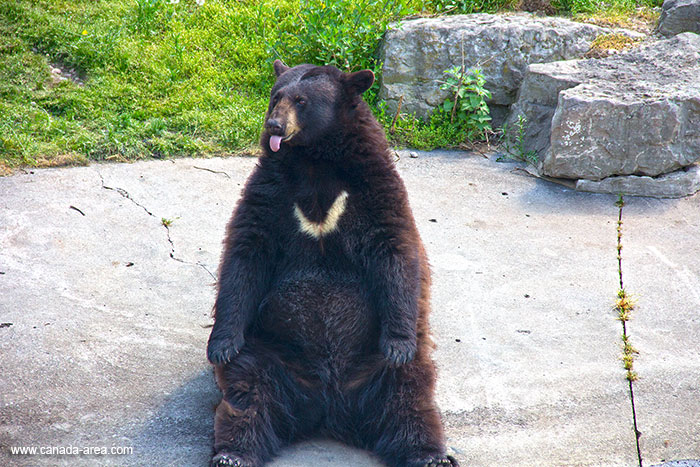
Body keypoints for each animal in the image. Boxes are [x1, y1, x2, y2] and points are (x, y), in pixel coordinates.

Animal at [206, 61, 460, 467]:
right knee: (248, 394)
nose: (274, 126)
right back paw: (233, 454)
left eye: (301, 100)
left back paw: (431, 455)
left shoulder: (372, 188)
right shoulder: (272, 189)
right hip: (268, 351)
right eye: (276, 95)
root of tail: (329, 406)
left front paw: (399, 344)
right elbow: (246, 250)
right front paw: (222, 344)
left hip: (376, 362)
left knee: (409, 398)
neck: (315, 160)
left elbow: (395, 249)